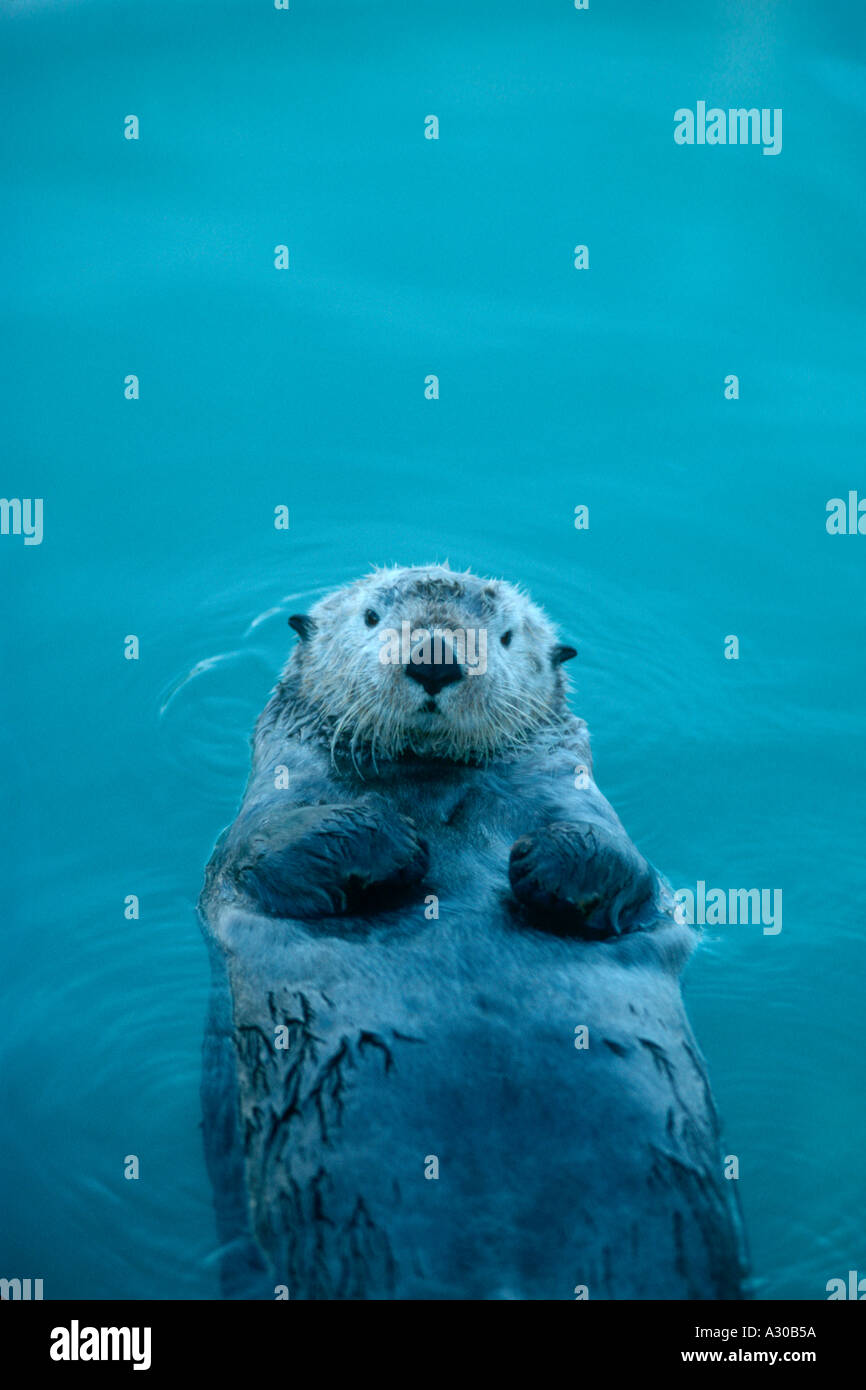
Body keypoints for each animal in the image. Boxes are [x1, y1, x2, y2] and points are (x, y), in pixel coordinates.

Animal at [199, 564, 748, 1300]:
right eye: (371, 617)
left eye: (506, 635)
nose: (435, 658)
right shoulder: (251, 833)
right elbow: (273, 857)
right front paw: (394, 842)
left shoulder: (592, 813)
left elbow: (629, 875)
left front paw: (545, 863)